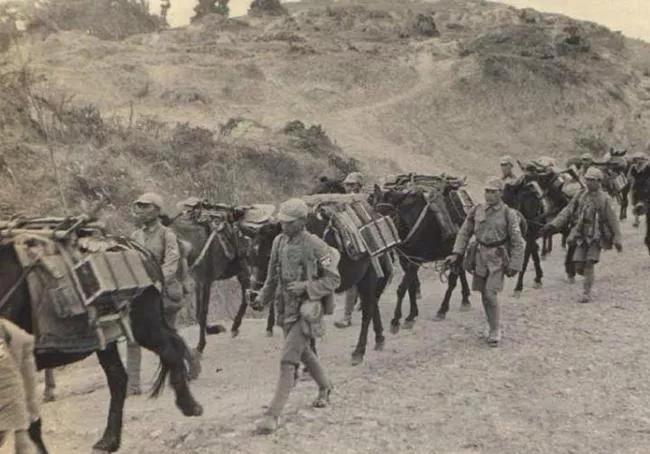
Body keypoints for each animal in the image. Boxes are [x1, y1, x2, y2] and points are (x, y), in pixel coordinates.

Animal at [370, 184, 470, 330]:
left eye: (390, 216)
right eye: (373, 215)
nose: (381, 245)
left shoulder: (415, 261)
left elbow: (402, 288)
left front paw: (396, 320)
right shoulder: (405, 260)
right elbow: (411, 287)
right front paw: (411, 316)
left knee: (452, 281)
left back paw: (442, 310)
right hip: (455, 253)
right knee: (460, 272)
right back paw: (465, 300)